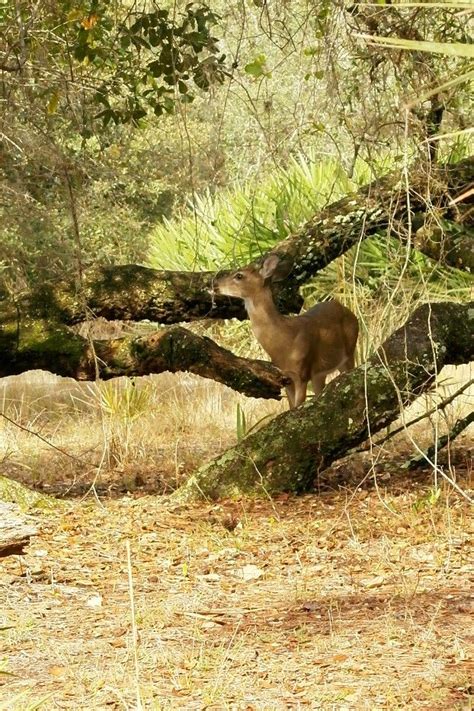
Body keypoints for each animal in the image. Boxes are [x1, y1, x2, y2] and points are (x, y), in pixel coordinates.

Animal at [213, 256, 358, 408]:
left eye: (239, 275)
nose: (215, 284)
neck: (285, 340)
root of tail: (348, 311)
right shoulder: (285, 377)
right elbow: (291, 407)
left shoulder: (302, 373)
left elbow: (298, 406)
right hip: (320, 373)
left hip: (349, 351)